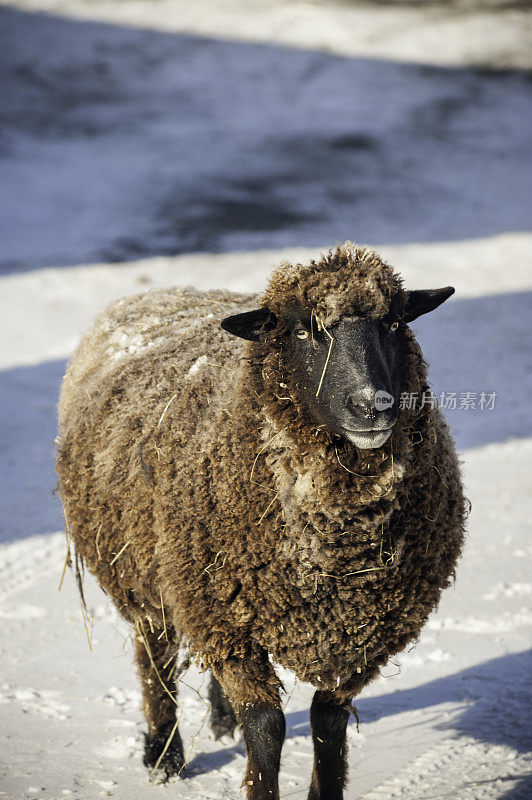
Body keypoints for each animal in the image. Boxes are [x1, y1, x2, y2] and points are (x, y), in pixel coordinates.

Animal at [57, 244, 466, 800]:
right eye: (303, 331)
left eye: (395, 322)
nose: (372, 407)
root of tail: (161, 291)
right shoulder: (225, 619)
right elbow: (267, 728)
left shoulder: (361, 634)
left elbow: (327, 725)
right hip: (147, 577)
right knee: (155, 658)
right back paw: (163, 755)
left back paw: (218, 718)